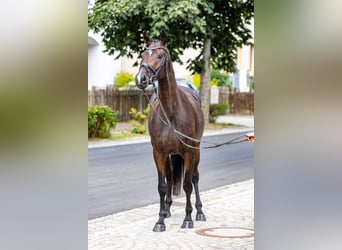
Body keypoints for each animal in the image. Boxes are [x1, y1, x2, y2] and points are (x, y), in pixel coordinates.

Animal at [136, 31, 206, 232]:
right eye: (143, 54)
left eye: (160, 55)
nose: (141, 79)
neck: (172, 112)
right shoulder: (159, 152)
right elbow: (162, 185)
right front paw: (160, 220)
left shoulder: (189, 152)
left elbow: (188, 184)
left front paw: (188, 218)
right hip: (170, 155)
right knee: (169, 177)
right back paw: (167, 210)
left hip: (196, 151)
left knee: (195, 178)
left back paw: (199, 211)